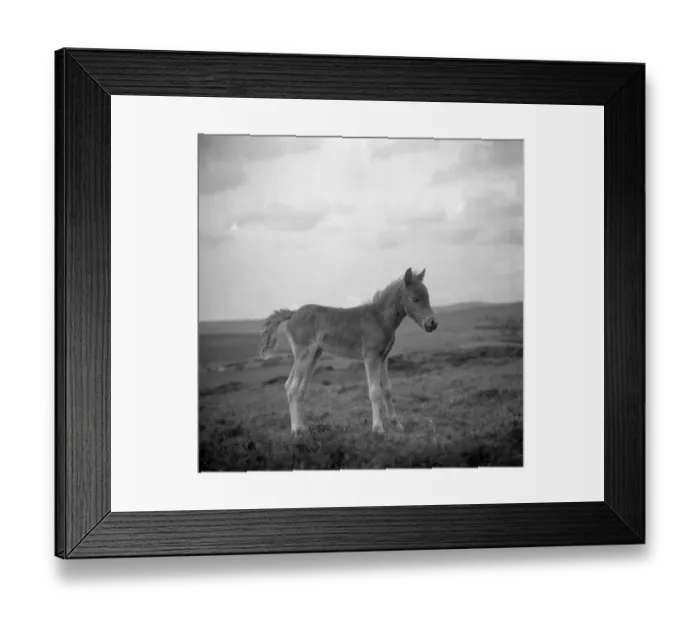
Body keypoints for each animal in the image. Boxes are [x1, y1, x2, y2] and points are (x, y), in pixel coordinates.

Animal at [258, 267, 438, 436]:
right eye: (415, 298)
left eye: (428, 297)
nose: (432, 323)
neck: (378, 319)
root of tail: (293, 313)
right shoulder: (371, 357)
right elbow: (375, 391)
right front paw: (378, 429)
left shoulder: (383, 358)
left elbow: (387, 389)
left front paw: (397, 425)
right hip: (304, 354)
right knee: (292, 387)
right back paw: (295, 431)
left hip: (313, 356)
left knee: (299, 389)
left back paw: (304, 429)